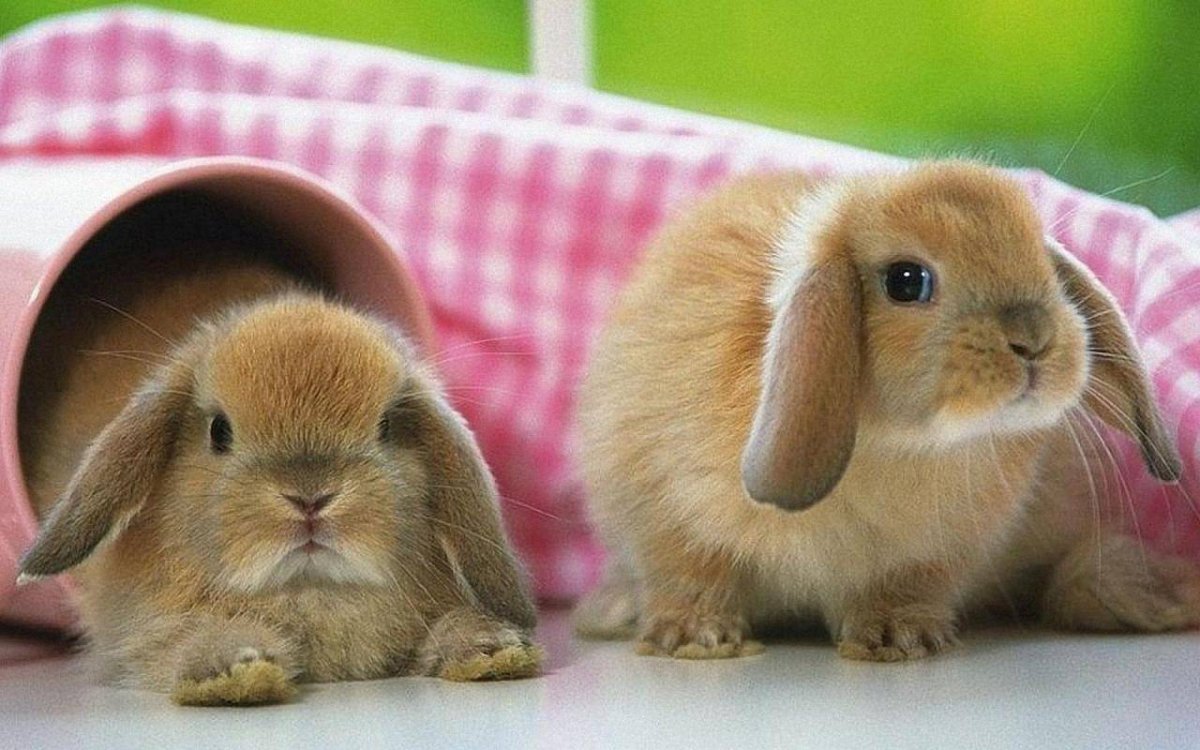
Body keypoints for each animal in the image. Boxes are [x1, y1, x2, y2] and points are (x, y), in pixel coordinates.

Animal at [18, 292, 540, 705]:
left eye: (386, 426)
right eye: (218, 431)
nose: (311, 497)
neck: (309, 589)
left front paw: (492, 649)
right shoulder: (149, 635)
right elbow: (188, 642)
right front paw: (235, 670)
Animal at [573, 160, 1200, 662]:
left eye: (1043, 268)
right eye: (906, 280)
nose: (1034, 338)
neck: (894, 444)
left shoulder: (938, 553)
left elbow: (907, 587)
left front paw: (898, 639)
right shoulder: (662, 514)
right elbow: (689, 576)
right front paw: (696, 638)